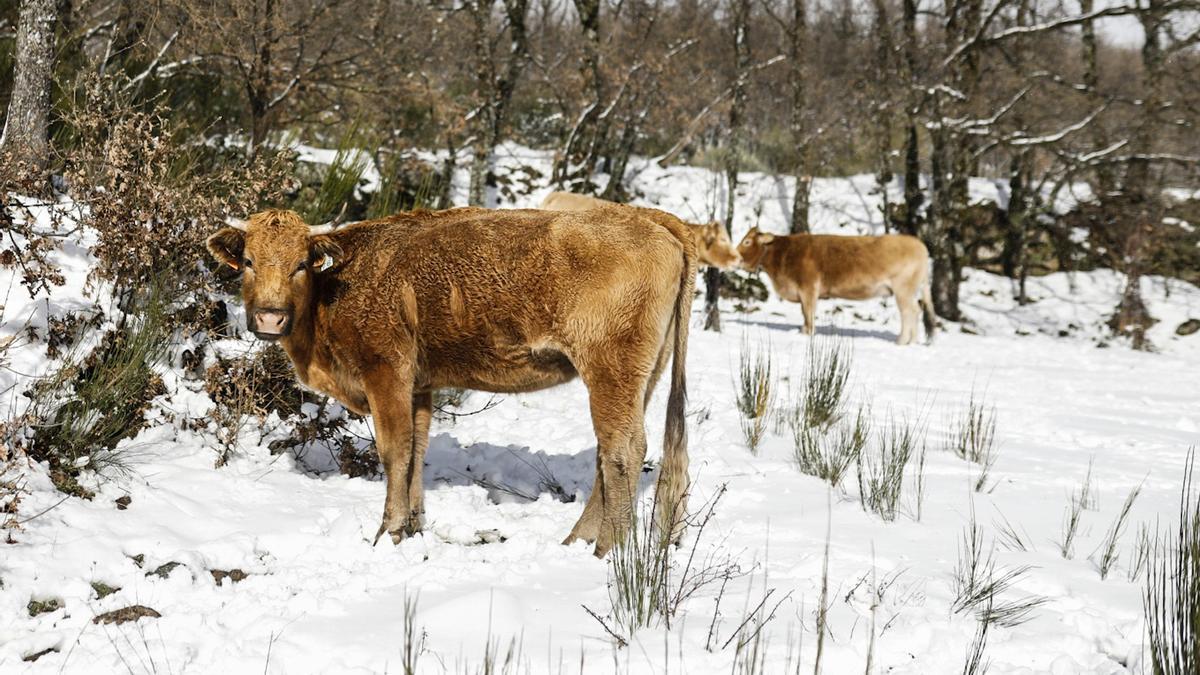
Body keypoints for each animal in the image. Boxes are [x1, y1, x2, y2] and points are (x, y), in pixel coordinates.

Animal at [206, 206, 696, 557]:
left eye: (301, 265)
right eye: (248, 261)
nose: (270, 317)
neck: (339, 283)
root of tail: (652, 219)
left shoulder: (386, 374)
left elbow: (395, 451)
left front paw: (387, 532)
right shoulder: (420, 387)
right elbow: (417, 451)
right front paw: (412, 528)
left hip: (611, 372)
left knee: (623, 451)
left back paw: (604, 551)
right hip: (640, 379)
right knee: (608, 454)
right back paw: (576, 541)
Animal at [729, 225, 936, 343]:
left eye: (747, 241)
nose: (734, 257)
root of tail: (919, 245)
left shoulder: (808, 289)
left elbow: (808, 314)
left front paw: (808, 333)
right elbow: (804, 314)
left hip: (903, 289)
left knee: (909, 312)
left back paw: (901, 341)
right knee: (916, 311)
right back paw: (912, 341)